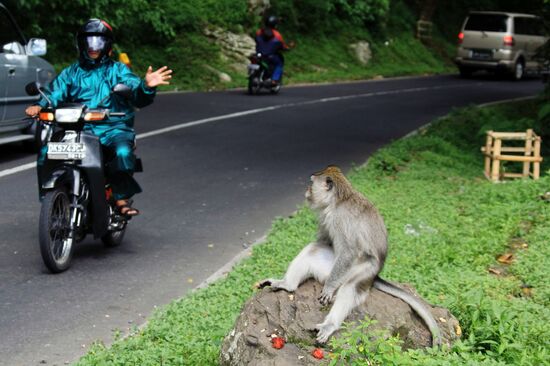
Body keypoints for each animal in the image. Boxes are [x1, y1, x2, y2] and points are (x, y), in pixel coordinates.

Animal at [258, 166, 444, 346]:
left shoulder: (341, 219)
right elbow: (324, 241)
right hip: (329, 268)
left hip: (362, 270)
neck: (337, 202)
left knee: (349, 287)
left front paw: (329, 289)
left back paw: (330, 324)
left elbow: (349, 252)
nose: (307, 191)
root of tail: (376, 275)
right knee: (313, 249)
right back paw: (287, 285)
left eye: (312, 184)